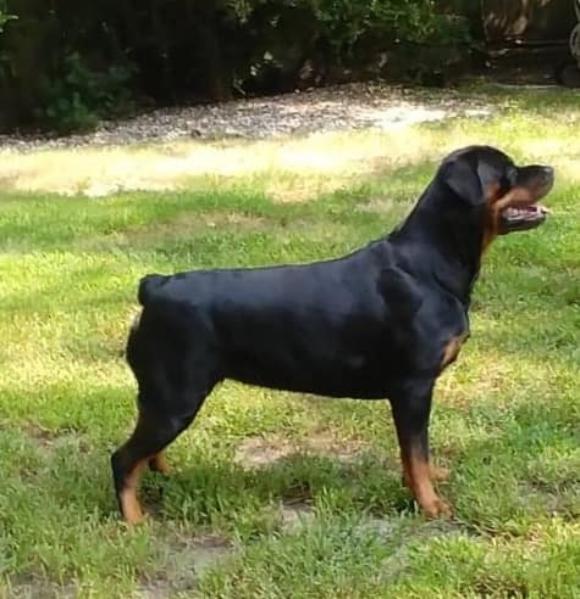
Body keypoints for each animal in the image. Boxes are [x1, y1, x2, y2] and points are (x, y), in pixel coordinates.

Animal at [112, 145, 554, 523]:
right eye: (509, 171)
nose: (550, 169)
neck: (430, 265)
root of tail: (155, 286)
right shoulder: (413, 387)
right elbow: (416, 452)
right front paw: (430, 505)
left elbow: (414, 455)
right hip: (176, 397)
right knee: (122, 459)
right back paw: (135, 521)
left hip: (166, 398)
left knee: (144, 451)